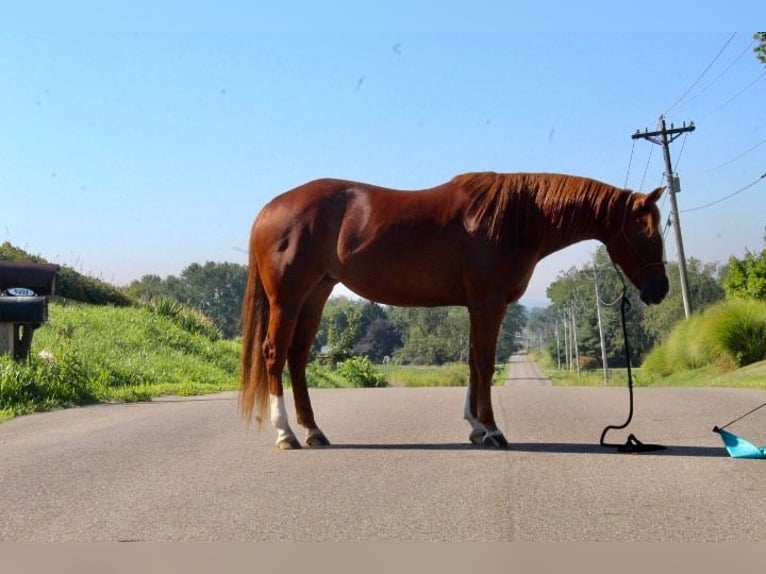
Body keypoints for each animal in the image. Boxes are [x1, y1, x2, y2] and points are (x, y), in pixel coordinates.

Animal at [242, 171, 672, 450]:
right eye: (647, 233)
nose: (660, 291)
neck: (515, 218)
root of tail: (268, 209)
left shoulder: (476, 305)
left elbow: (472, 362)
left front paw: (475, 427)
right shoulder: (488, 302)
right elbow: (484, 363)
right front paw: (492, 431)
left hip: (317, 293)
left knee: (298, 358)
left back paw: (313, 431)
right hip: (288, 299)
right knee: (274, 354)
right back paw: (286, 434)